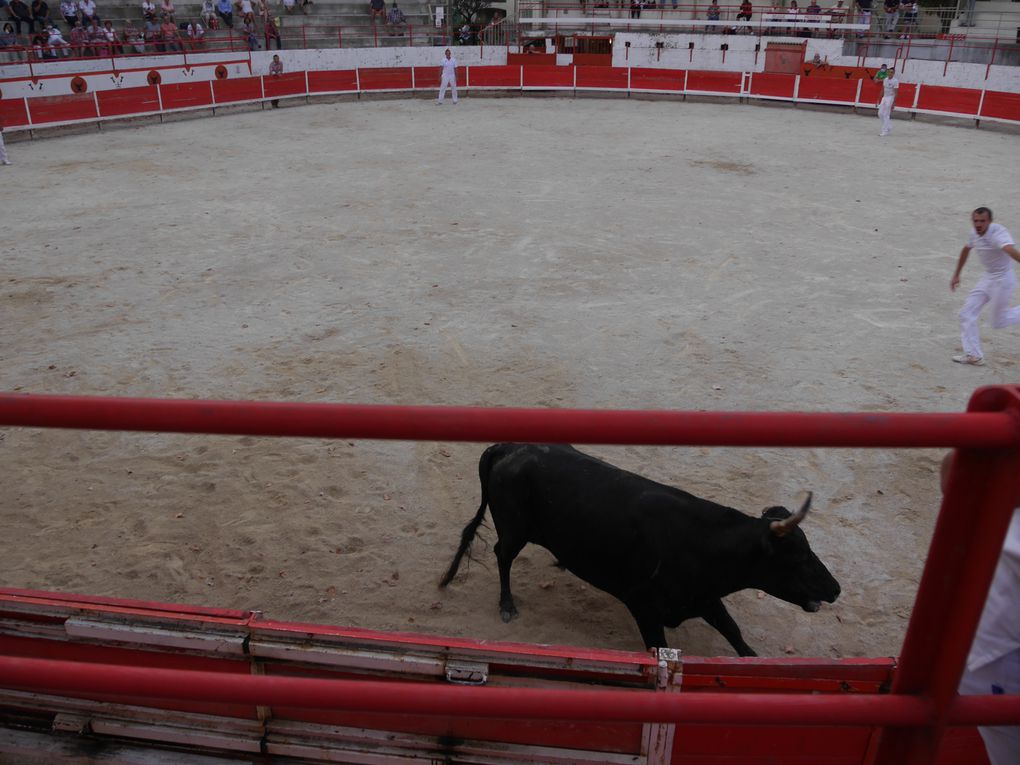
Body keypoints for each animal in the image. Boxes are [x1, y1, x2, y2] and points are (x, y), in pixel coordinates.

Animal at [438, 442, 836, 660]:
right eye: (797, 557)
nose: (835, 589)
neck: (702, 544)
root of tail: (505, 447)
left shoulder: (705, 598)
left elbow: (736, 634)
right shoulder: (644, 608)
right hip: (514, 528)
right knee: (502, 554)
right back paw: (507, 605)